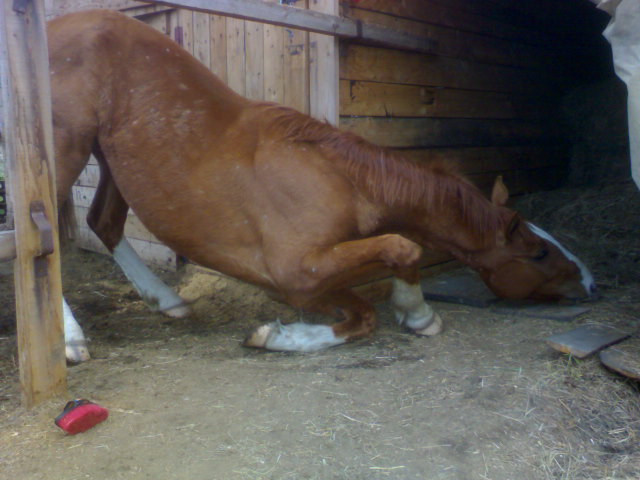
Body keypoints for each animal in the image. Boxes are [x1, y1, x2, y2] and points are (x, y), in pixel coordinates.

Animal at [48, 10, 596, 364]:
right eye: (539, 253)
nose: (591, 284)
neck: (341, 178)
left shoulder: (311, 277)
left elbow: (371, 301)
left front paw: (281, 335)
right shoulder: (296, 271)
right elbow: (403, 249)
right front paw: (416, 313)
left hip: (112, 159)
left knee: (104, 223)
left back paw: (167, 301)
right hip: (65, 151)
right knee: (48, 235)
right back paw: (72, 341)